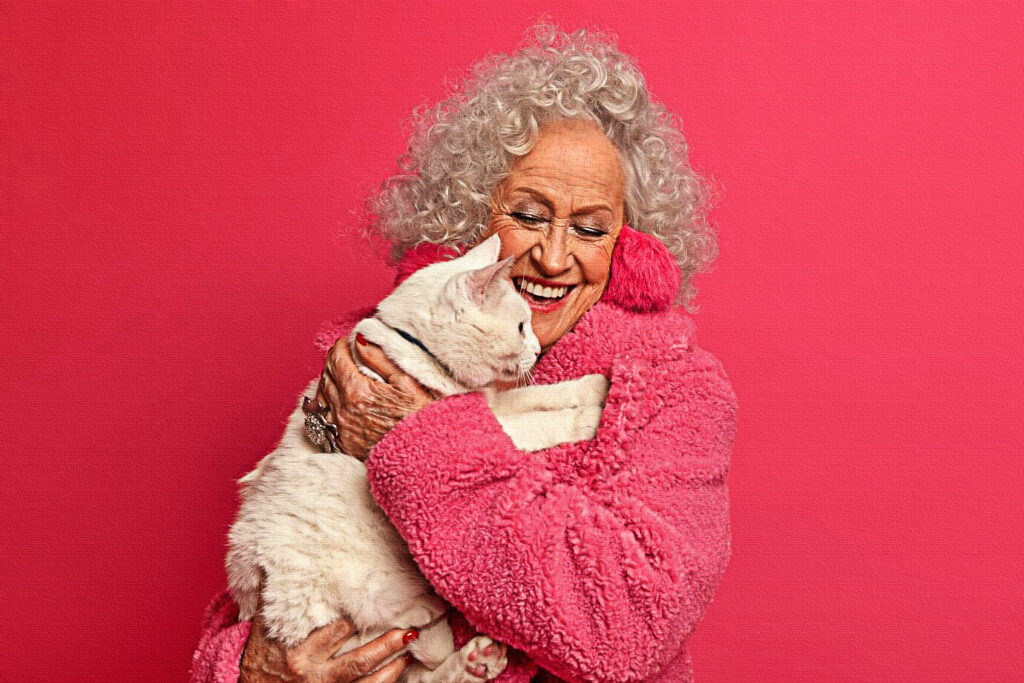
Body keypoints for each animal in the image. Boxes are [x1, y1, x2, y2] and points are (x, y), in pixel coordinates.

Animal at [226, 233, 606, 679]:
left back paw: (479, 659)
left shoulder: (489, 403)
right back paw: (435, 617)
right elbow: (542, 423)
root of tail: (249, 592)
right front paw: (589, 418)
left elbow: (548, 393)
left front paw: (598, 386)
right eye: (520, 326)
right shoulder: (478, 419)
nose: (534, 349)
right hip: (359, 609)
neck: (421, 356)